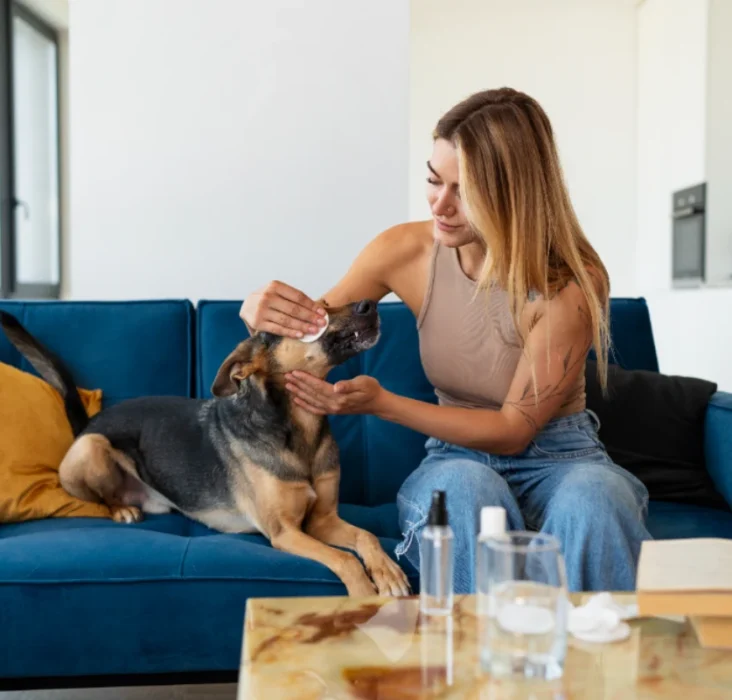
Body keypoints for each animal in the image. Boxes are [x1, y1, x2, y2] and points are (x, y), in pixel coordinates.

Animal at [0, 300, 412, 596]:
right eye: (314, 311)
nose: (370, 304)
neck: (298, 429)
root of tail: (88, 423)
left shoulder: (322, 520)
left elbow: (366, 536)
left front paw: (388, 572)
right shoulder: (284, 532)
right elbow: (343, 560)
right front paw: (365, 594)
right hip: (93, 447)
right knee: (103, 495)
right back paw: (122, 510)